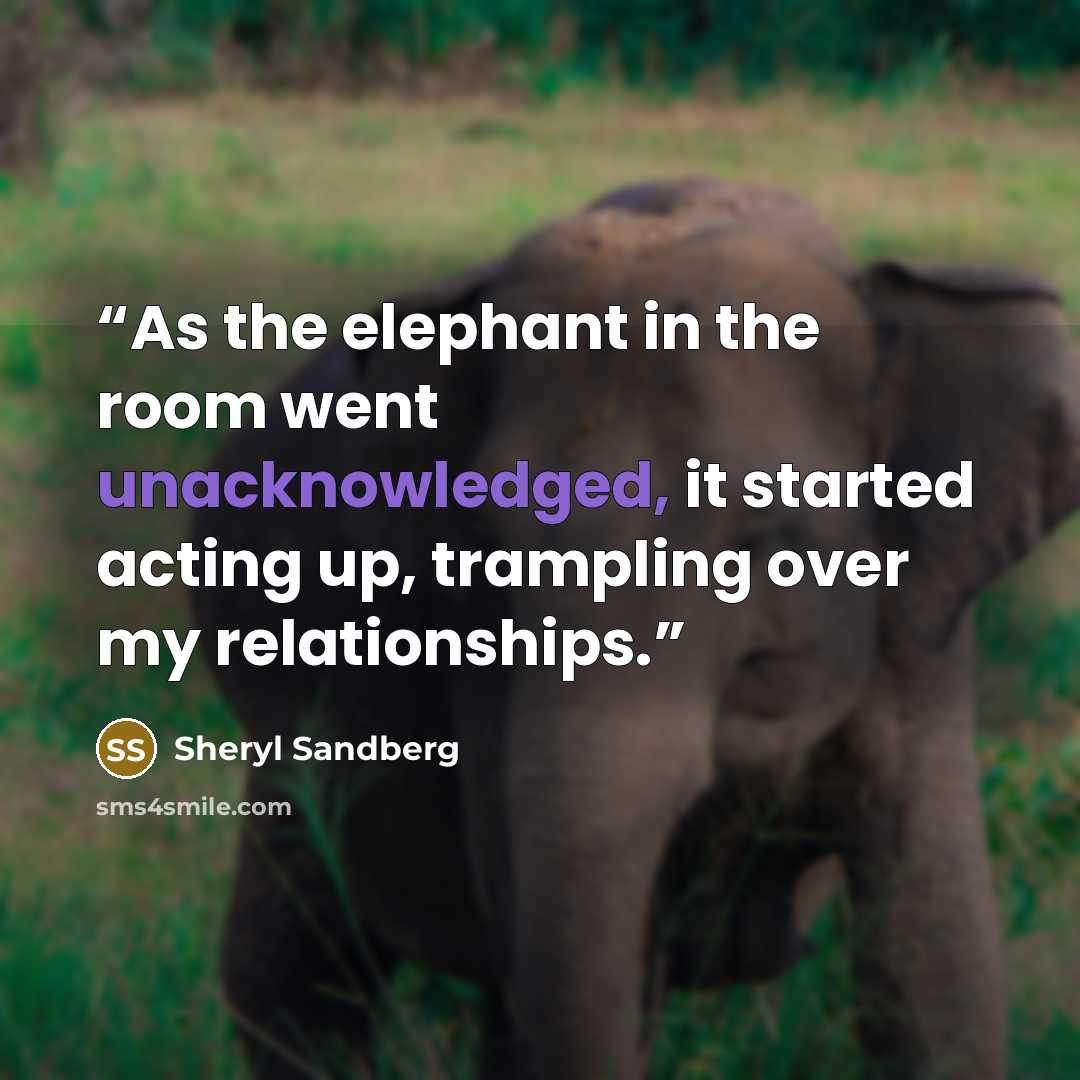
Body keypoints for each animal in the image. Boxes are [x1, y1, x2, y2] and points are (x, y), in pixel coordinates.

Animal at [191, 177, 1080, 1079]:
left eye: (768, 541)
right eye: (485, 547)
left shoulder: (920, 625)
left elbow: (931, 973)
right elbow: (545, 940)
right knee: (299, 975)